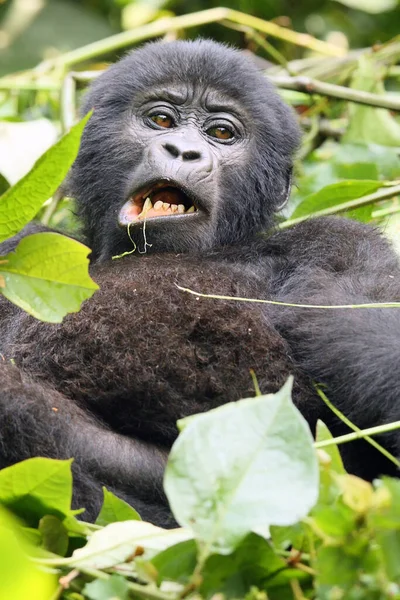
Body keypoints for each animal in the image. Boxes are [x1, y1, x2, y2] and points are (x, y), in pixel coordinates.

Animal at [0, 39, 400, 524]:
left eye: (222, 133)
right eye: (162, 120)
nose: (182, 151)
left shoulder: (341, 244)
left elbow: (371, 319)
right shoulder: (22, 244)